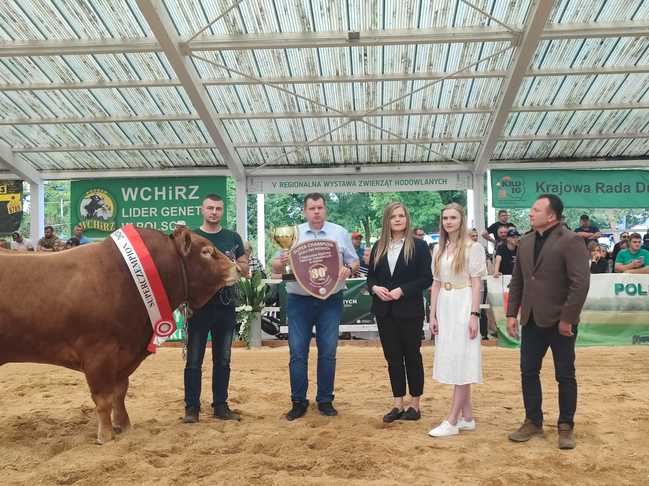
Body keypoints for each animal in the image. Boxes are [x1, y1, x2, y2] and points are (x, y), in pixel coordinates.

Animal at [0, 227, 239, 444]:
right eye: (206, 251)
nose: (237, 267)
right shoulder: (98, 353)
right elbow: (104, 398)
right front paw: (105, 436)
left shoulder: (123, 355)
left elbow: (120, 392)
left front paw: (124, 425)